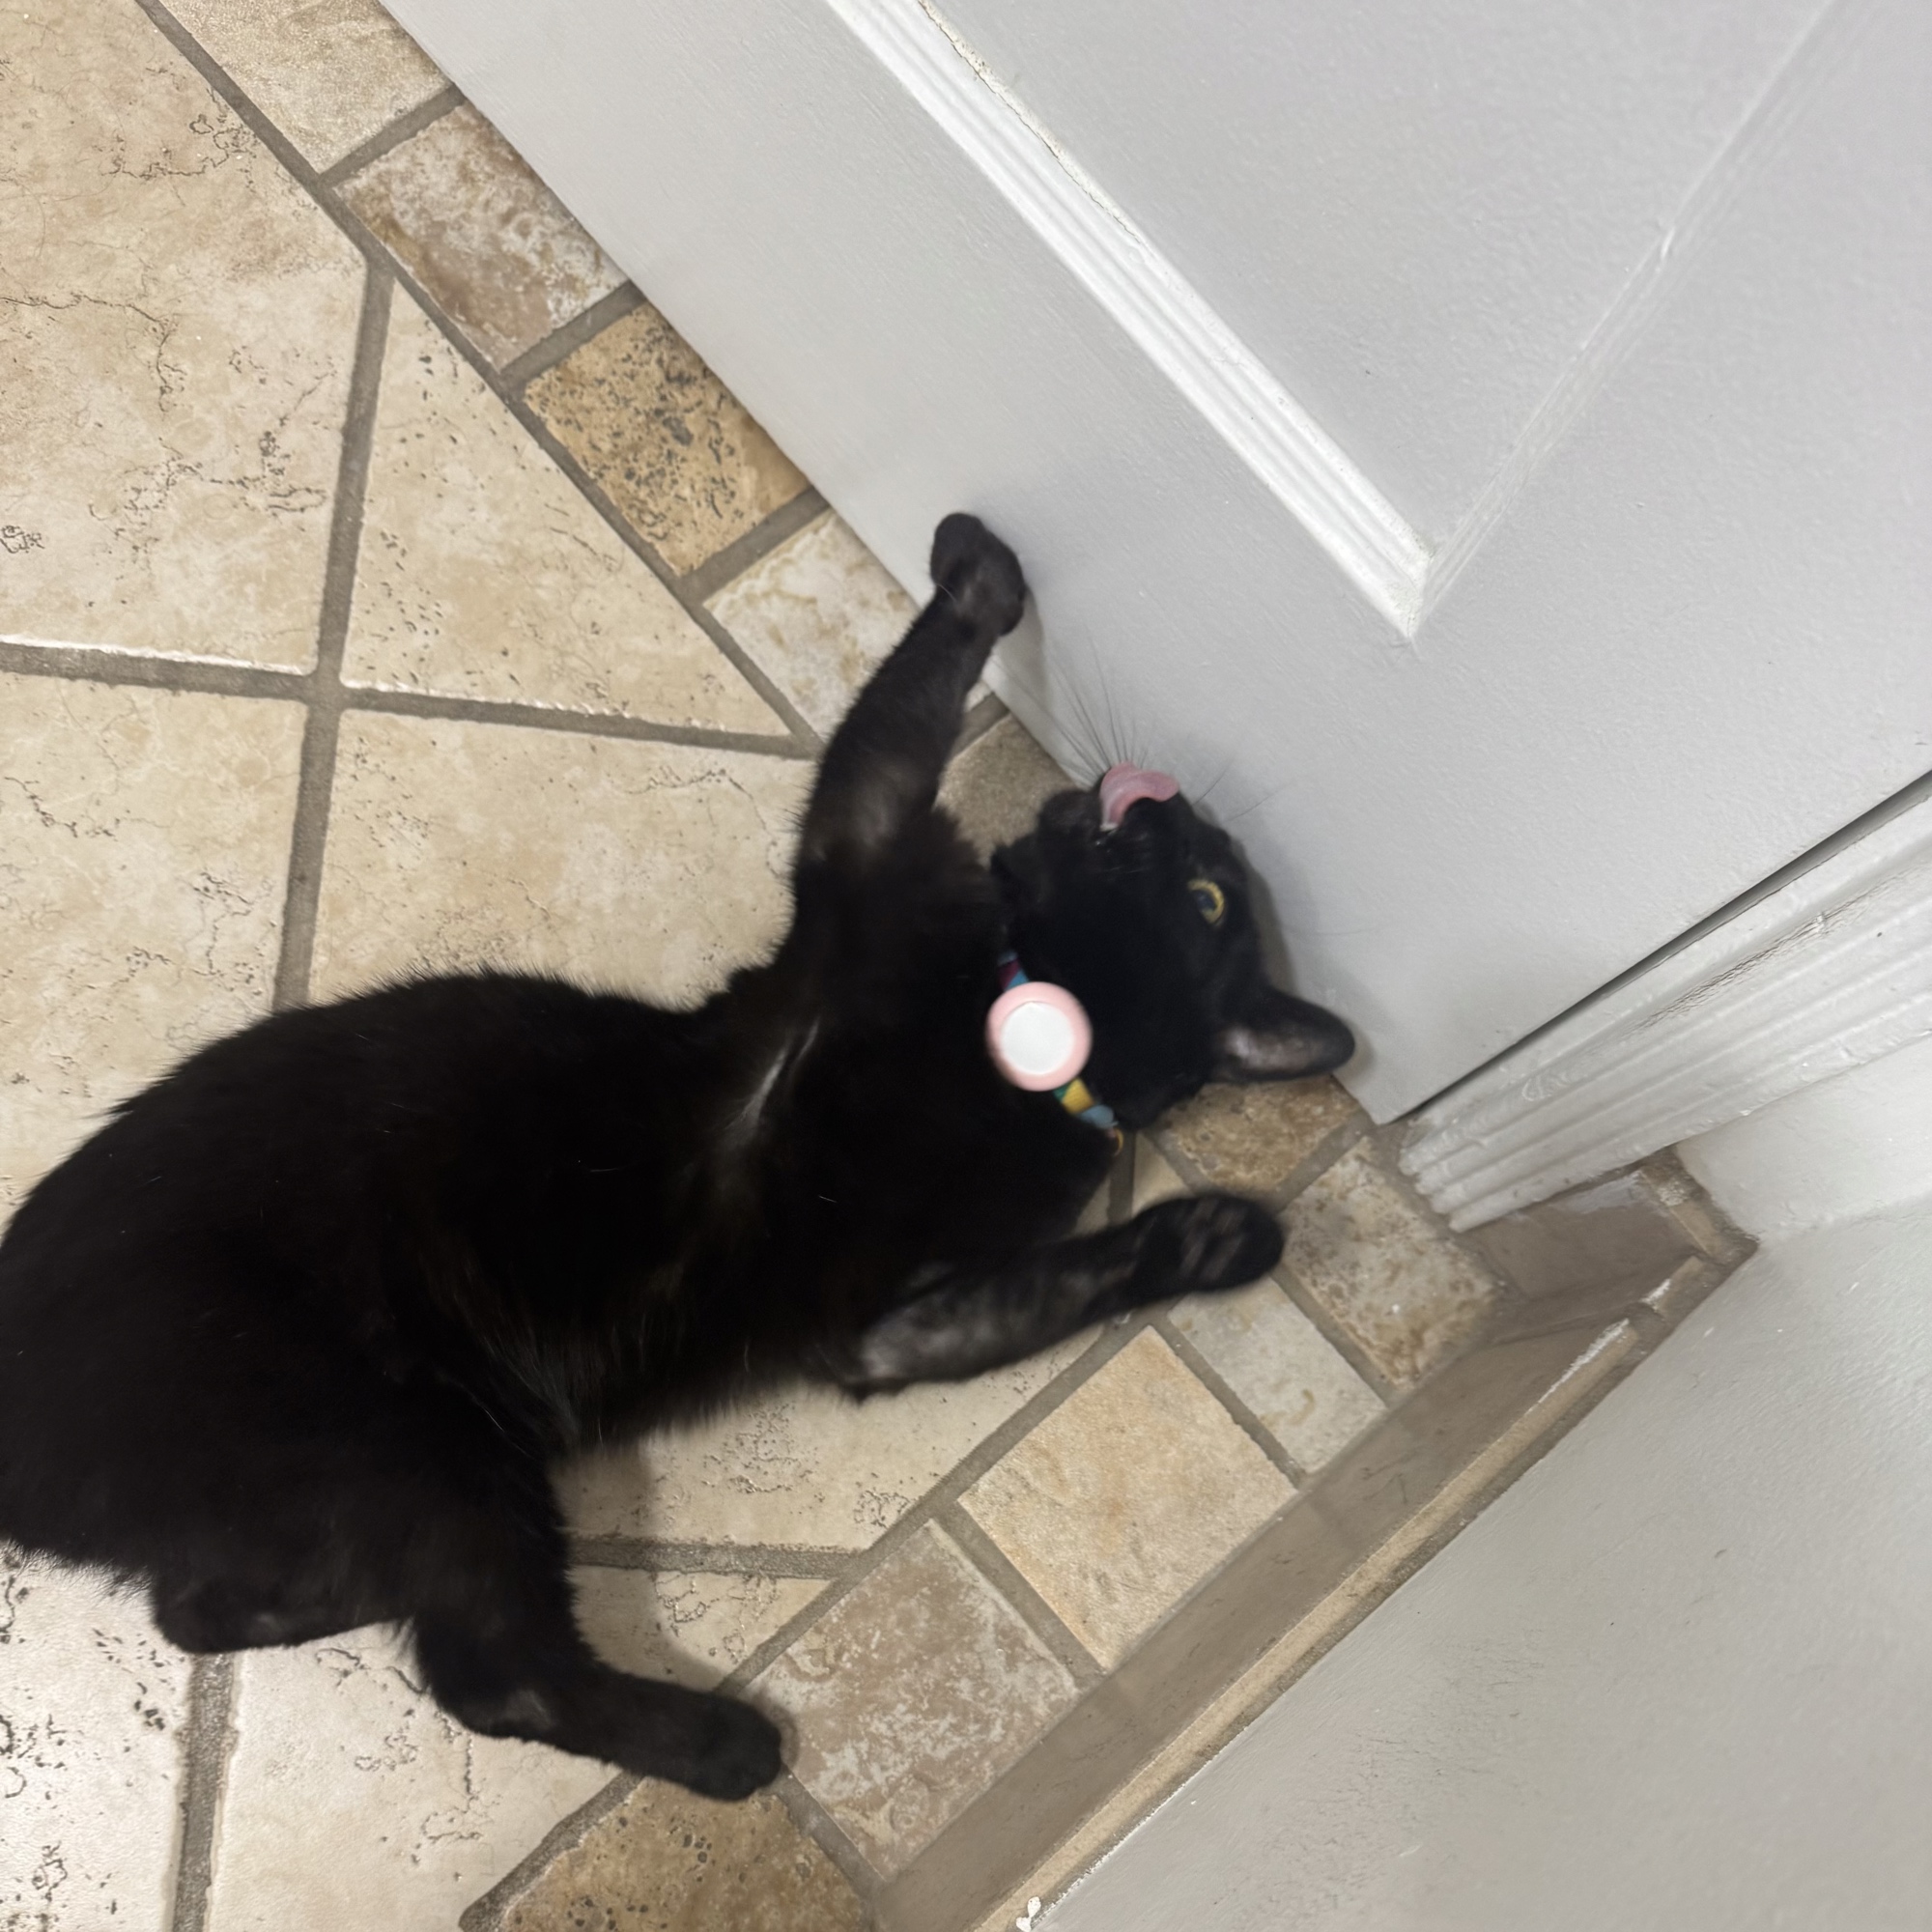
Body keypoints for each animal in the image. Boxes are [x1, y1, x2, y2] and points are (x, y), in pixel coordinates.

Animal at [0, 515, 1353, 1799]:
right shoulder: (867, 848)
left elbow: (1059, 1284)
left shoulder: (896, 1317)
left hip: (405, 1468)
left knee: (296, 1627)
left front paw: (1212, 1236)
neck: (1023, 1019)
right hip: (413, 1447)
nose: (1176, 806)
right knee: (478, 1669)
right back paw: (719, 1741)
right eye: (1210, 891)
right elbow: (905, 706)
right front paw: (980, 570)